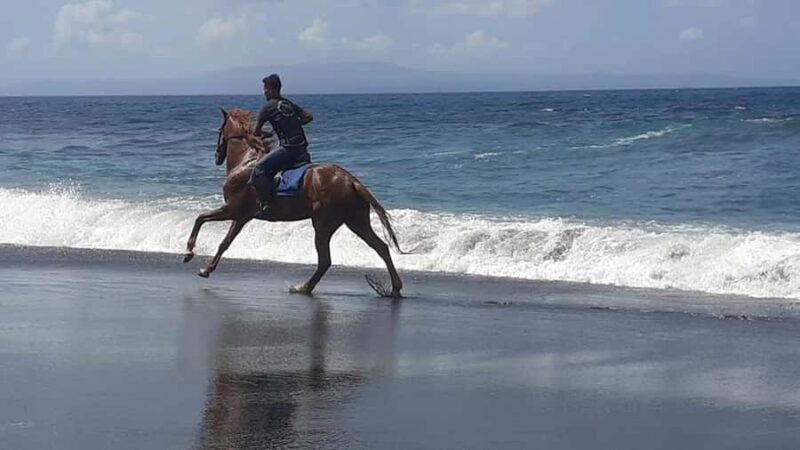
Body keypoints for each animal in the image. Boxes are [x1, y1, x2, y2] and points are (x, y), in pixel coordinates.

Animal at [182, 108, 406, 298]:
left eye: (220, 130)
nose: (216, 156)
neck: (245, 163)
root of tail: (350, 180)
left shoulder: (235, 211)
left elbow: (206, 225)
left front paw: (194, 257)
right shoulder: (241, 216)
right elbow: (218, 235)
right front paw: (200, 262)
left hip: (323, 224)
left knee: (325, 260)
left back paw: (303, 287)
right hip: (356, 221)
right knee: (381, 247)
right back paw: (395, 288)